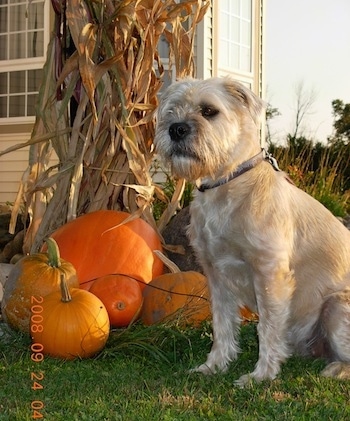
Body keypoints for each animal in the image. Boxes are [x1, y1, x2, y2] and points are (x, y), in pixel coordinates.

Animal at [154, 77, 350, 386]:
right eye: (172, 110)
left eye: (209, 111)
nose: (176, 129)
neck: (226, 183)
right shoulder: (217, 276)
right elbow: (222, 325)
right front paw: (214, 366)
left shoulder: (269, 274)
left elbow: (267, 328)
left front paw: (261, 375)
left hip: (336, 307)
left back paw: (336, 368)